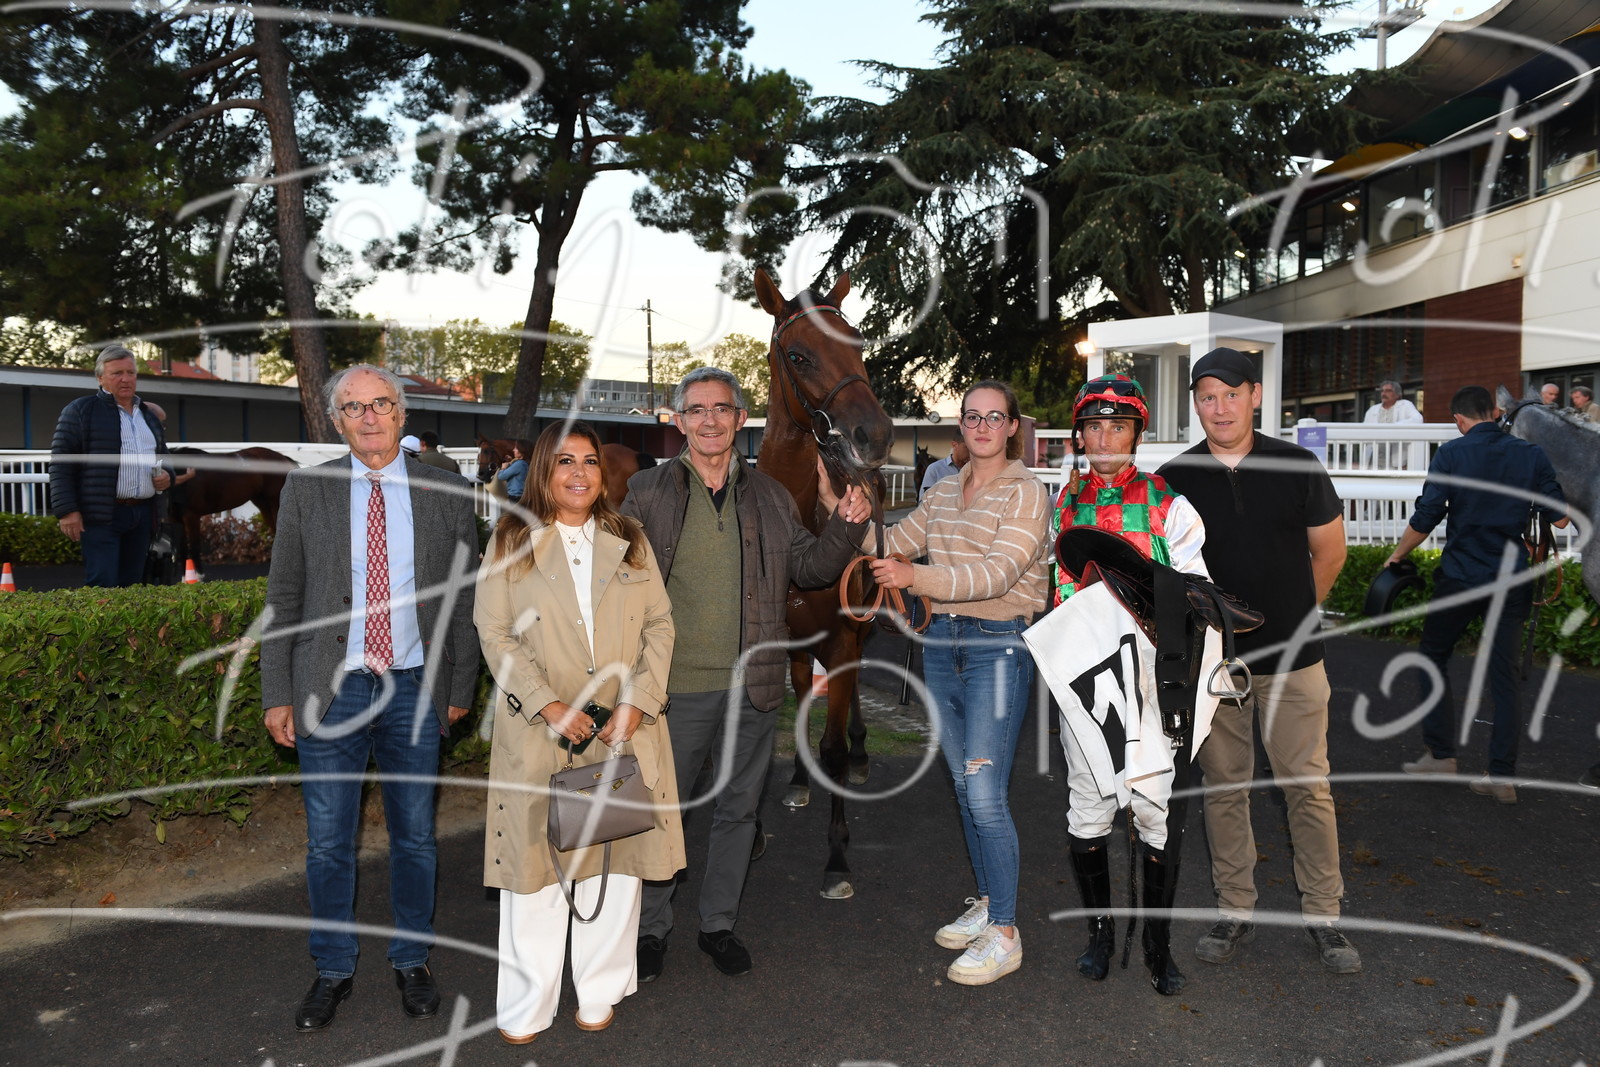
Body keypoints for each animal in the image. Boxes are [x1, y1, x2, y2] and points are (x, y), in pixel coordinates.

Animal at [166, 447, 295, 569]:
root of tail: (282, 457)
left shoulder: (191, 516)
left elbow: (194, 549)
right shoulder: (177, 519)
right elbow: (182, 550)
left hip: (275, 502)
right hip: (263, 504)